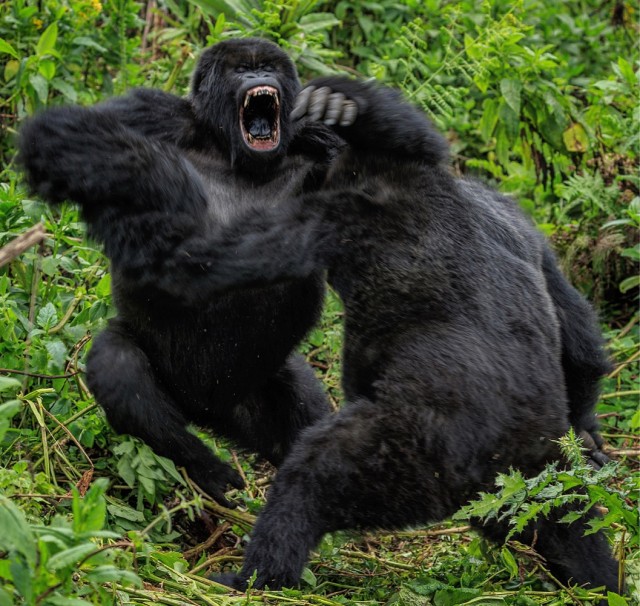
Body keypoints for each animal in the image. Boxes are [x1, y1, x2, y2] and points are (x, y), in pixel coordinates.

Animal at [16, 39, 344, 508]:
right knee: (121, 365)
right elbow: (59, 133)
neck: (229, 151)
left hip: (251, 398)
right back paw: (200, 463)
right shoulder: (156, 112)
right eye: (240, 69)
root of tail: (206, 412)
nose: (257, 77)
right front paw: (166, 184)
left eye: (269, 66)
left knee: (301, 396)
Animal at [92, 77, 616, 600]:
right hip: (532, 481)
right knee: (565, 517)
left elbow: (215, 258)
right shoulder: (514, 217)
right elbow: (578, 340)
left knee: (316, 476)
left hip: (419, 463)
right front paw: (589, 431)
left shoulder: (330, 213)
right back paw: (599, 576)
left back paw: (259, 575)